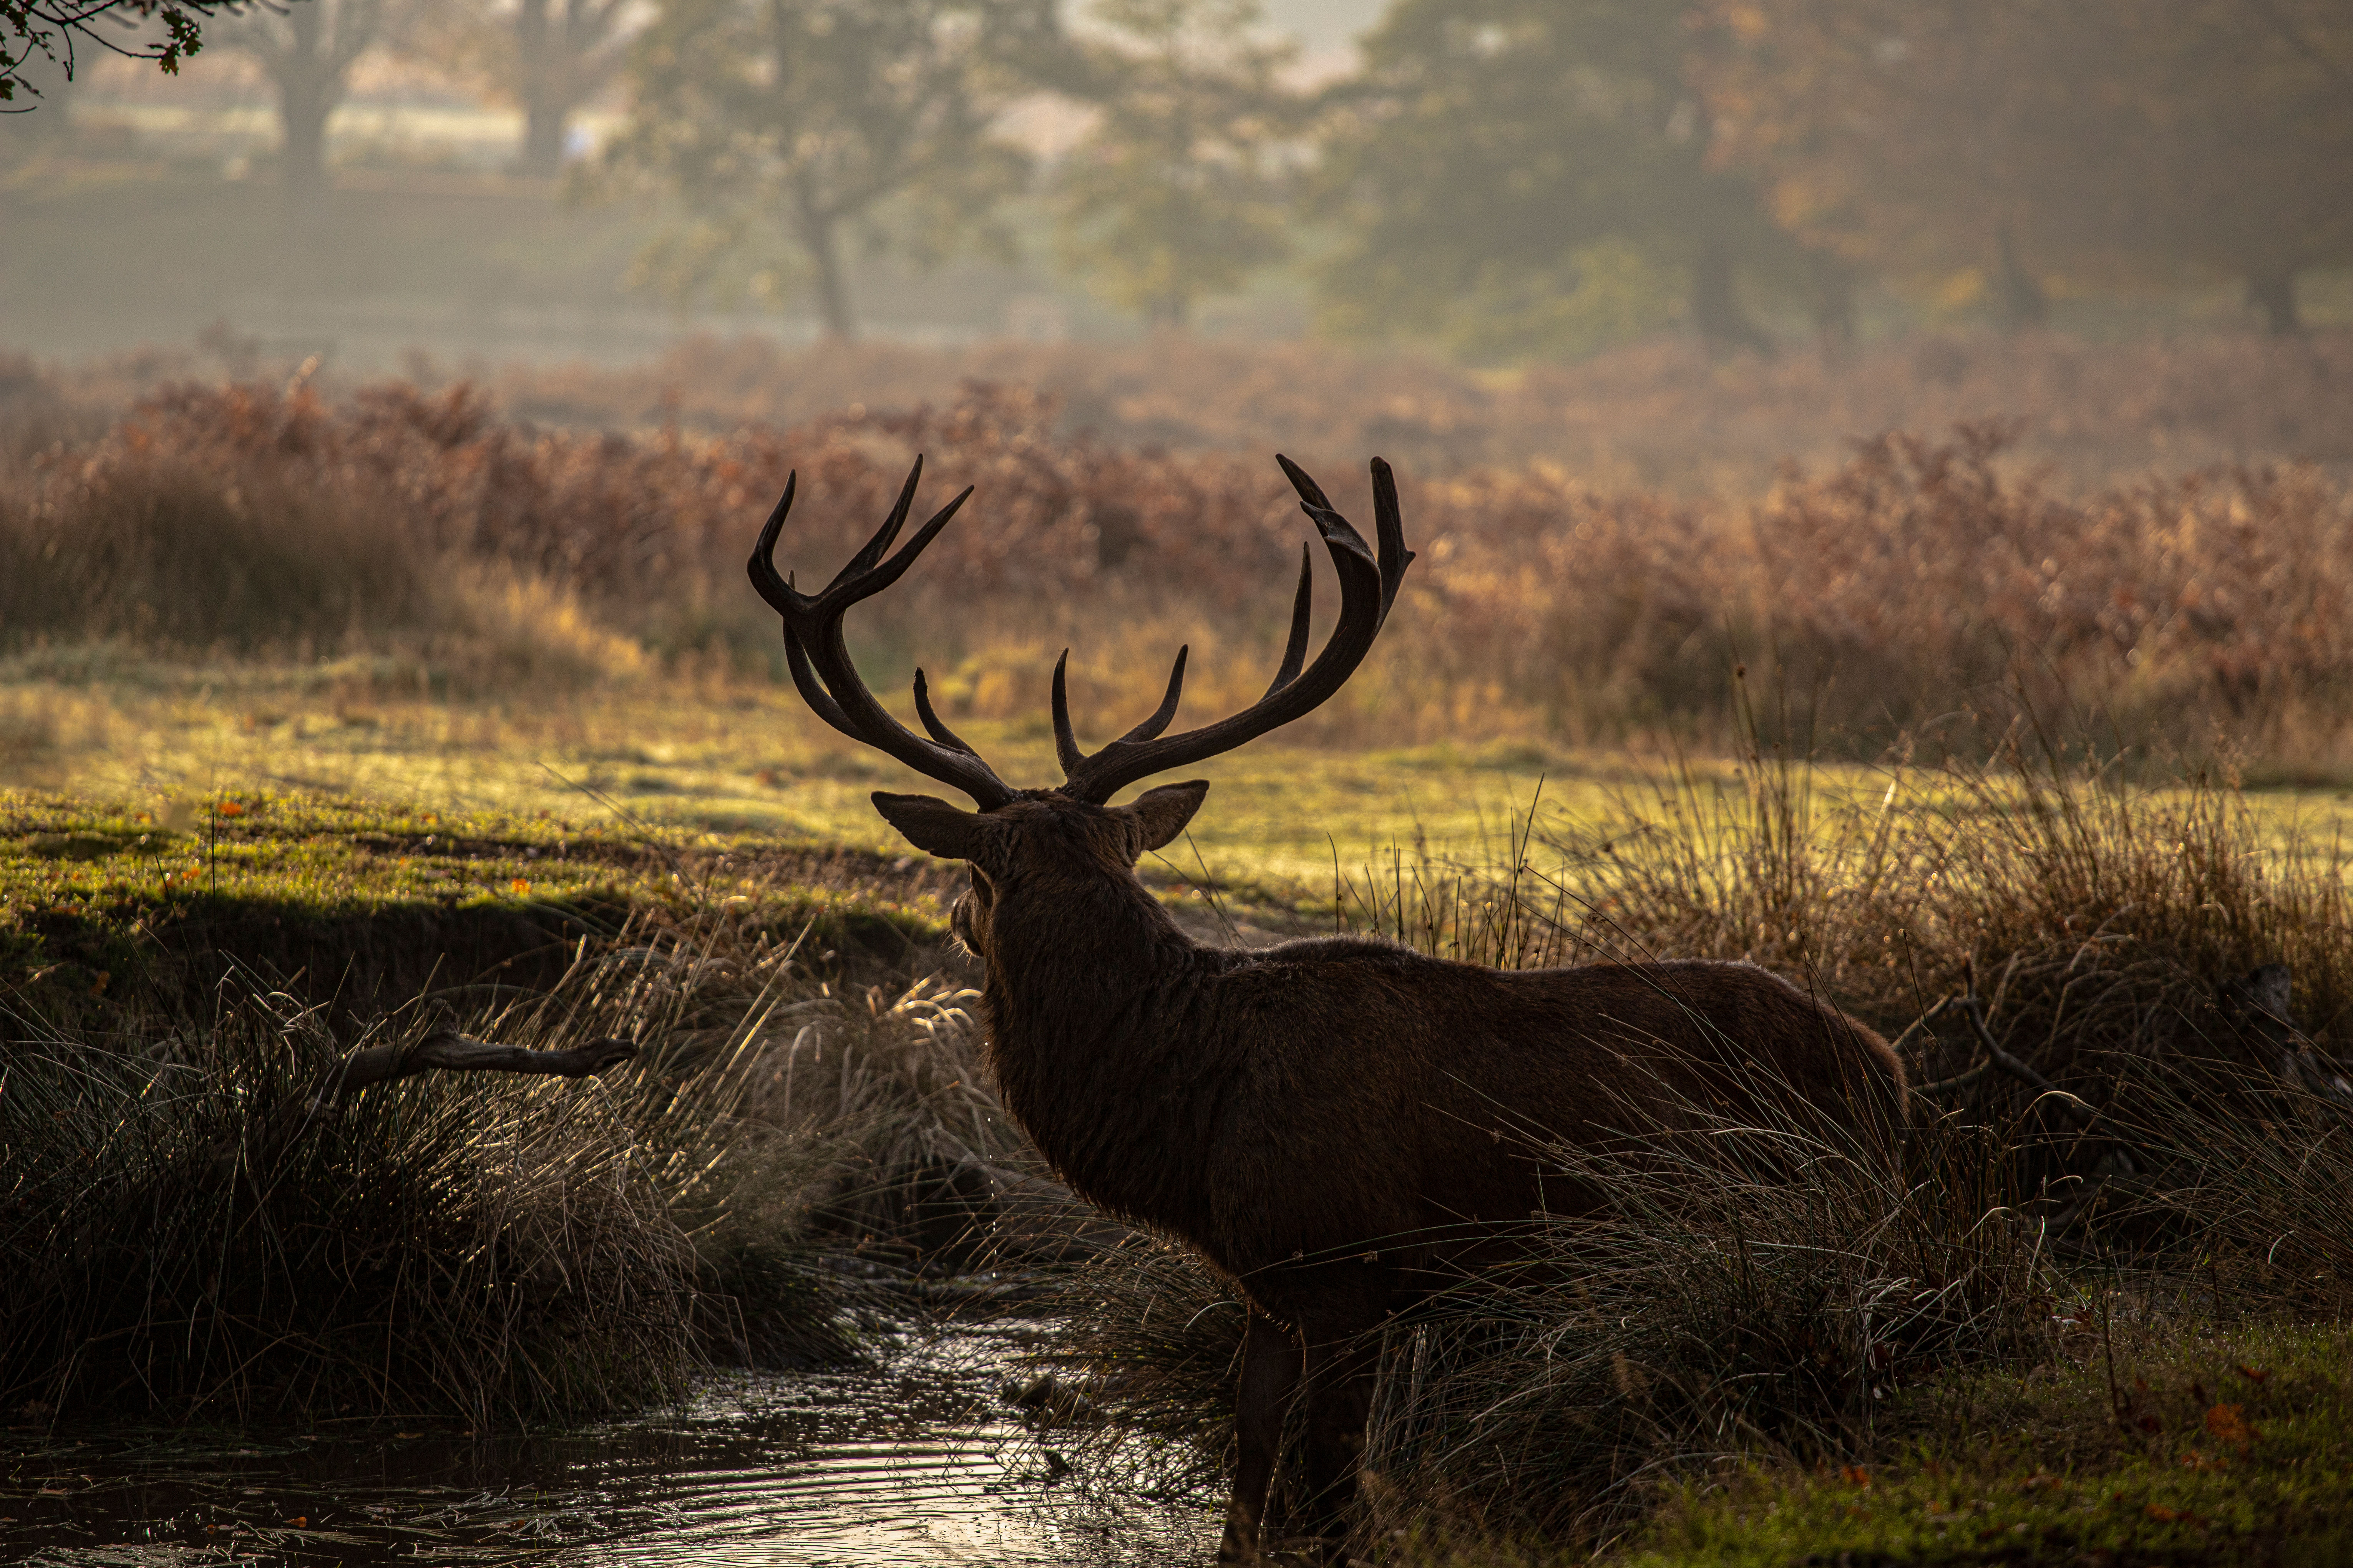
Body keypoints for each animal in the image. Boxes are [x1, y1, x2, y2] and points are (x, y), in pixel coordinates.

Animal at [746, 455, 1907, 1563]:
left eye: (978, 878)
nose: (953, 916)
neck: (1190, 1115)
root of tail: (1889, 1073)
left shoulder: (1350, 1267)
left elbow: (1335, 1498)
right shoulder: (1273, 1282)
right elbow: (1249, 1480)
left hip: (1772, 1213)